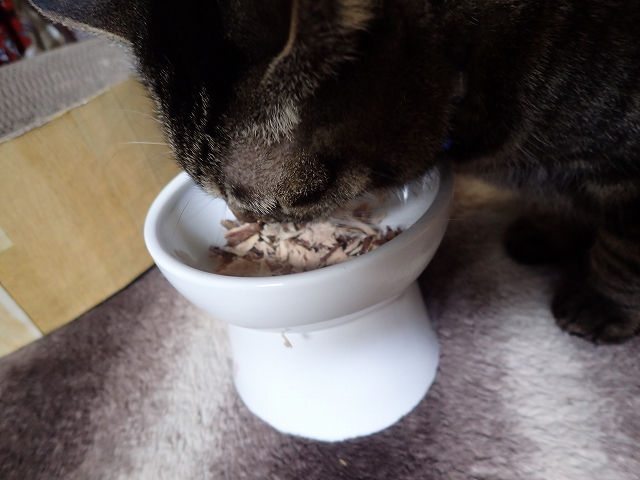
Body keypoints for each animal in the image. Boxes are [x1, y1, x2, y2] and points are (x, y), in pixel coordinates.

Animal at [30, 0, 640, 344]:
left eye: (295, 199)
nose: (245, 218)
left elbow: (619, 252)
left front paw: (599, 304)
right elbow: (556, 201)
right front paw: (548, 229)